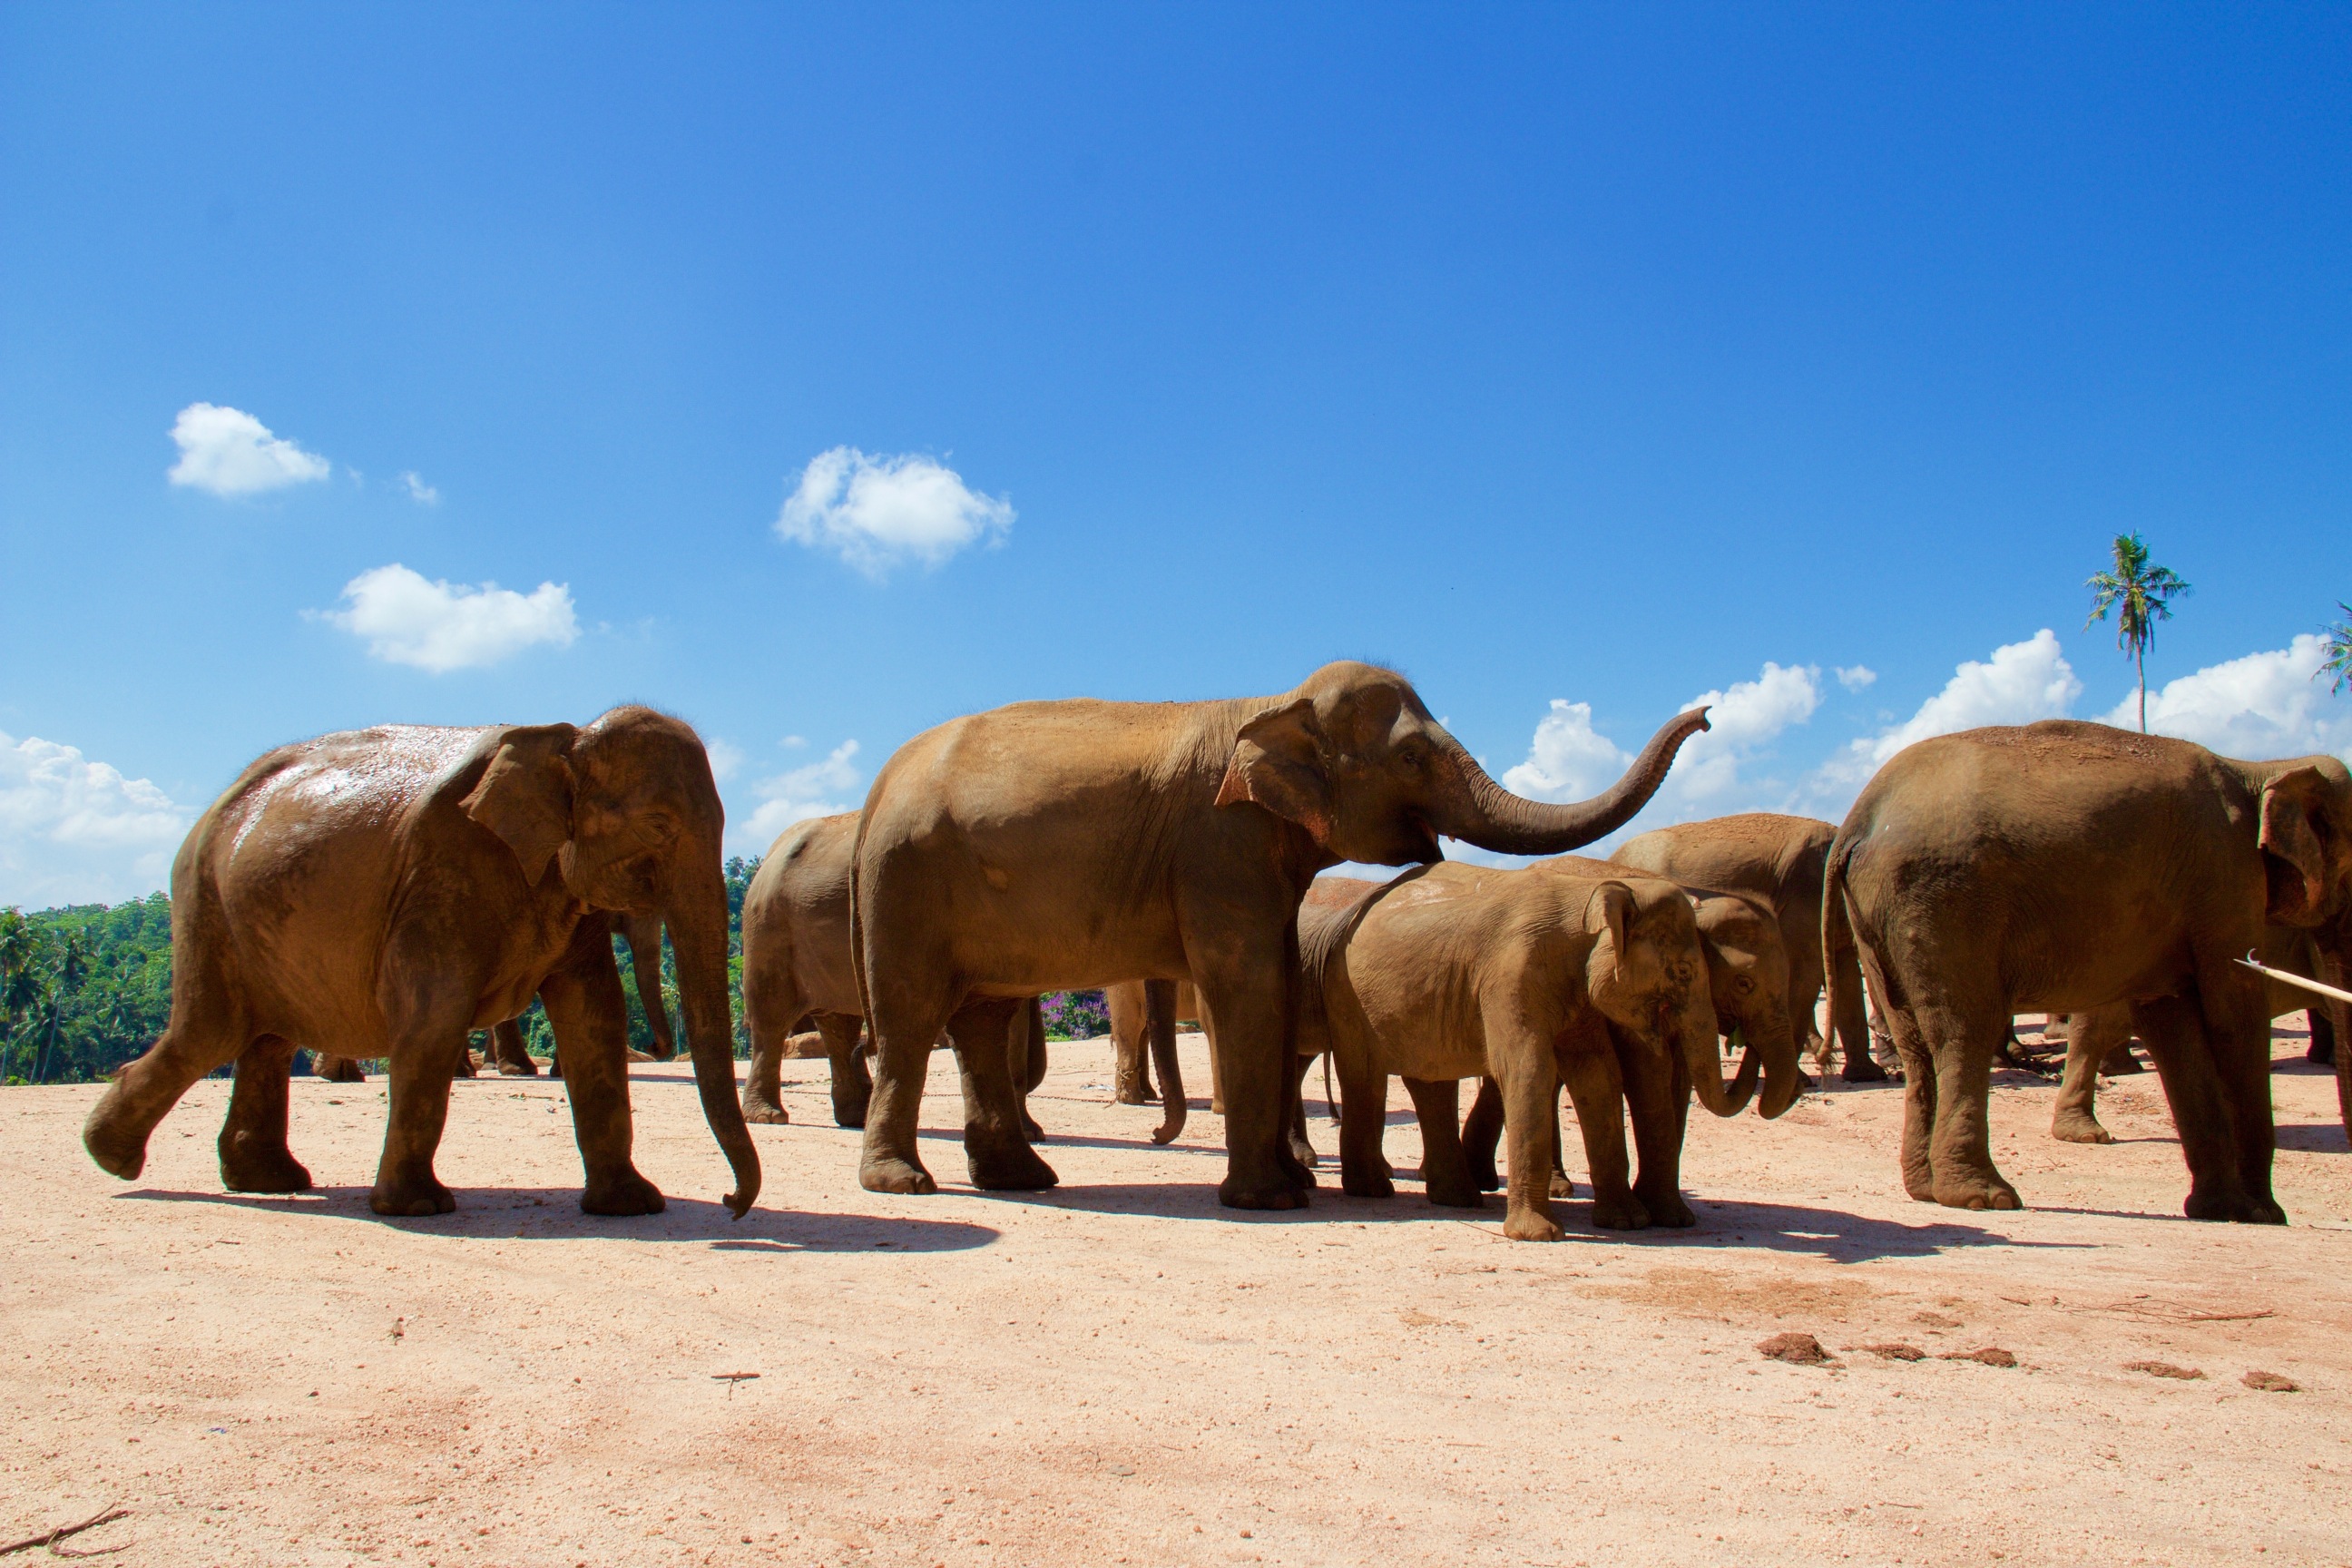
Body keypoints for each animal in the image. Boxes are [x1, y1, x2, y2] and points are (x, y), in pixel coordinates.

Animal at [81, 708, 760, 1219]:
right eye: (659, 824)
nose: (731, 1205)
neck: (565, 738)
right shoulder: (446, 870)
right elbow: (434, 1012)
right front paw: (419, 1208)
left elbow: (594, 1014)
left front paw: (632, 1205)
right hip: (205, 903)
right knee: (211, 1031)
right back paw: (117, 1160)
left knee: (265, 1039)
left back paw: (268, 1181)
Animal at [738, 811, 1049, 1131]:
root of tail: (771, 853)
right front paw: (1029, 1131)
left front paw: (1031, 1130)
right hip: (768, 929)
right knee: (771, 1017)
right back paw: (768, 1117)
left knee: (837, 1023)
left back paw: (856, 1118)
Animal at [848, 661, 1710, 1207]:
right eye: (1408, 757)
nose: (1705, 714)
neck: (1273, 703)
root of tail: (876, 789)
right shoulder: (1219, 843)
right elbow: (1250, 982)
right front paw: (1271, 1199)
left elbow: (1273, 984)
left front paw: (1293, 1186)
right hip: (905, 884)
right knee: (912, 1017)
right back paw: (905, 1184)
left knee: (980, 1020)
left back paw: (1021, 1181)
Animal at [1292, 858, 1730, 1239]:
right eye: (1683, 972)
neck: (1589, 894)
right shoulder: (1513, 972)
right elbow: (1528, 1069)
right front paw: (1540, 1235)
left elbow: (1597, 1077)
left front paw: (1627, 1223)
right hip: (1348, 996)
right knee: (1366, 1076)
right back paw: (1374, 1189)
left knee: (1430, 1081)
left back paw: (1458, 1200)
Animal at [1610, 812, 1887, 1081]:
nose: (1824, 1061)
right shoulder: (1806, 897)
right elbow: (1804, 974)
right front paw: (1798, 1081)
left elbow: (1846, 974)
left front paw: (1866, 1076)